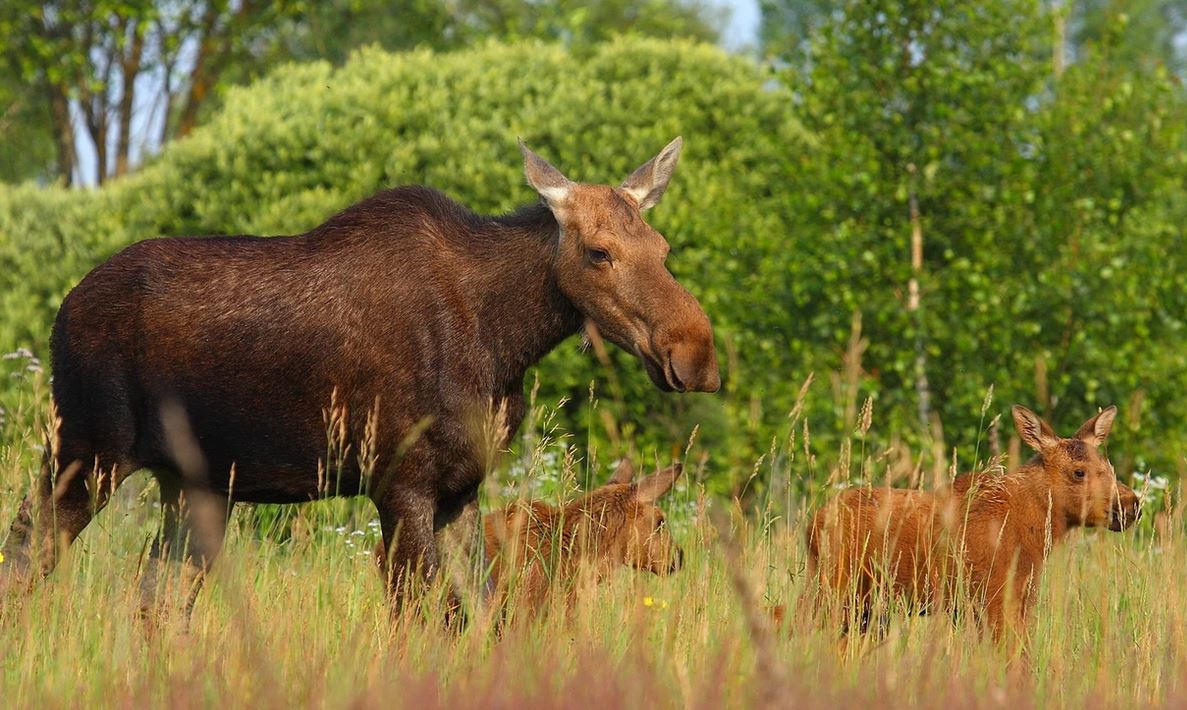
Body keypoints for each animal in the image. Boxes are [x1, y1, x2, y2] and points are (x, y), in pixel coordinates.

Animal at [0, 136, 716, 622]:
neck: (503, 342)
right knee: (28, 555)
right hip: (85, 451)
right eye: (598, 252)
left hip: (192, 483)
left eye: (663, 248)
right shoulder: (400, 484)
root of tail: (62, 312)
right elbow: (427, 616)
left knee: (155, 597)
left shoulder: (461, 490)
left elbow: (480, 614)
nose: (696, 352)